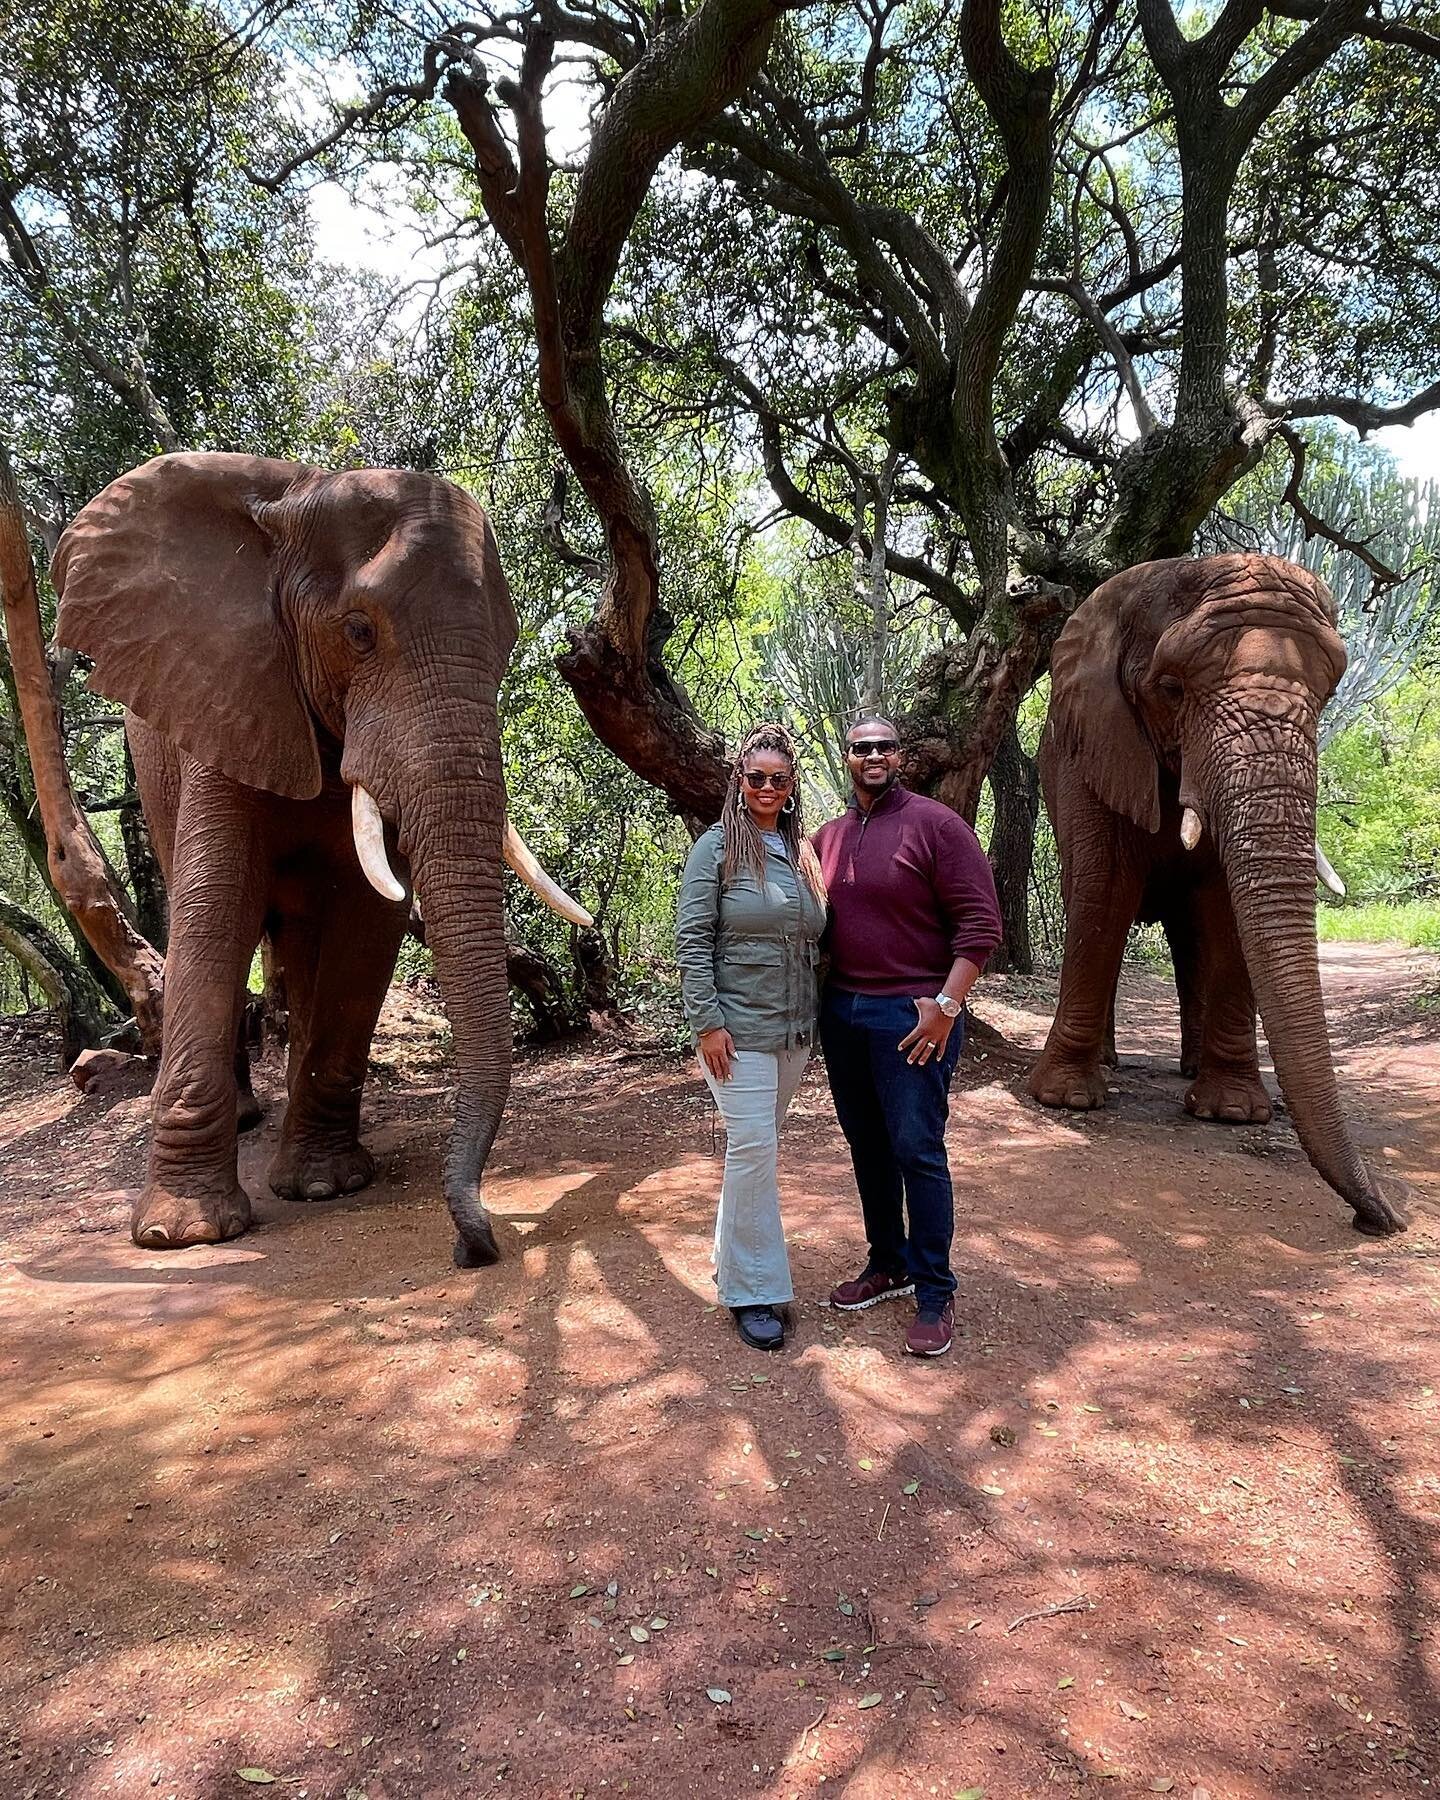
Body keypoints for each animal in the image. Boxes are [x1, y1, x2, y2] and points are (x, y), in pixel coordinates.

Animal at [51, 450, 590, 1267]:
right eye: (358, 631)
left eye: (506, 646)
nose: (479, 1246)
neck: (290, 501)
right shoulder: (227, 692)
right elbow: (216, 912)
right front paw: (179, 1233)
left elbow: (369, 920)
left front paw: (323, 1186)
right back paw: (245, 1120)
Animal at [1029, 547, 1411, 1238]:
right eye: (1172, 688)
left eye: (1329, 691)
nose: (1380, 1221)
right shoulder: (1087, 748)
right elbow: (1104, 892)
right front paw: (1067, 1100)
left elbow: (1225, 908)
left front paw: (1233, 1113)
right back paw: (1111, 1064)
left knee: (1190, 943)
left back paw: (1189, 1070)